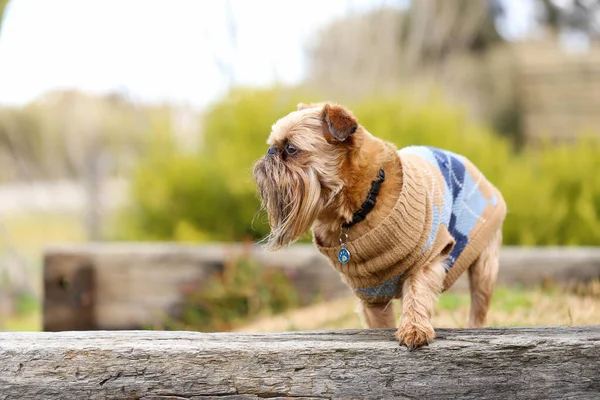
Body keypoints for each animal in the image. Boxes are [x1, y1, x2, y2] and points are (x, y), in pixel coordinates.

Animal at [251, 103, 504, 350]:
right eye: (273, 146)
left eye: (291, 149)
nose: (270, 152)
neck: (361, 205)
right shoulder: (369, 293)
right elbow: (379, 321)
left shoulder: (427, 257)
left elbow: (417, 292)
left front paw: (414, 329)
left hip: (484, 266)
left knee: (479, 302)